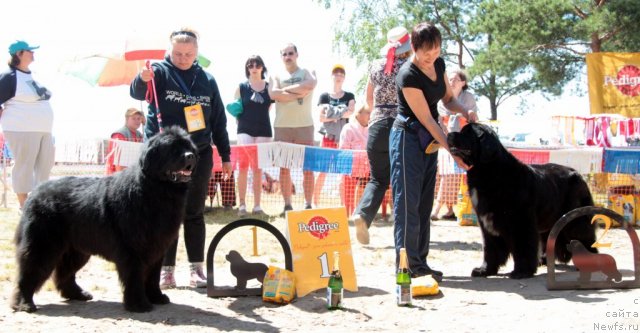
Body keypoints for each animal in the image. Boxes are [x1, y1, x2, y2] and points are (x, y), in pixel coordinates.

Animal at [11, 126, 198, 312]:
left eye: (188, 146)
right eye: (172, 148)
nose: (190, 156)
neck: (156, 191)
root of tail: (35, 192)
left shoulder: (157, 247)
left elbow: (153, 276)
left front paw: (157, 297)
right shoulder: (133, 249)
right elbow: (135, 276)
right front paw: (139, 304)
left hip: (76, 249)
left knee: (64, 273)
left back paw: (78, 294)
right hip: (43, 246)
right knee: (29, 272)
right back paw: (24, 303)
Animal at [448, 122, 596, 278]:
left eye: (467, 133)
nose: (449, 134)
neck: (490, 172)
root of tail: (578, 174)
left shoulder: (521, 222)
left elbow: (523, 247)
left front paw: (522, 271)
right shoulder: (487, 223)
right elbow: (490, 248)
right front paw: (484, 270)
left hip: (575, 220)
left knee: (584, 237)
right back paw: (543, 260)